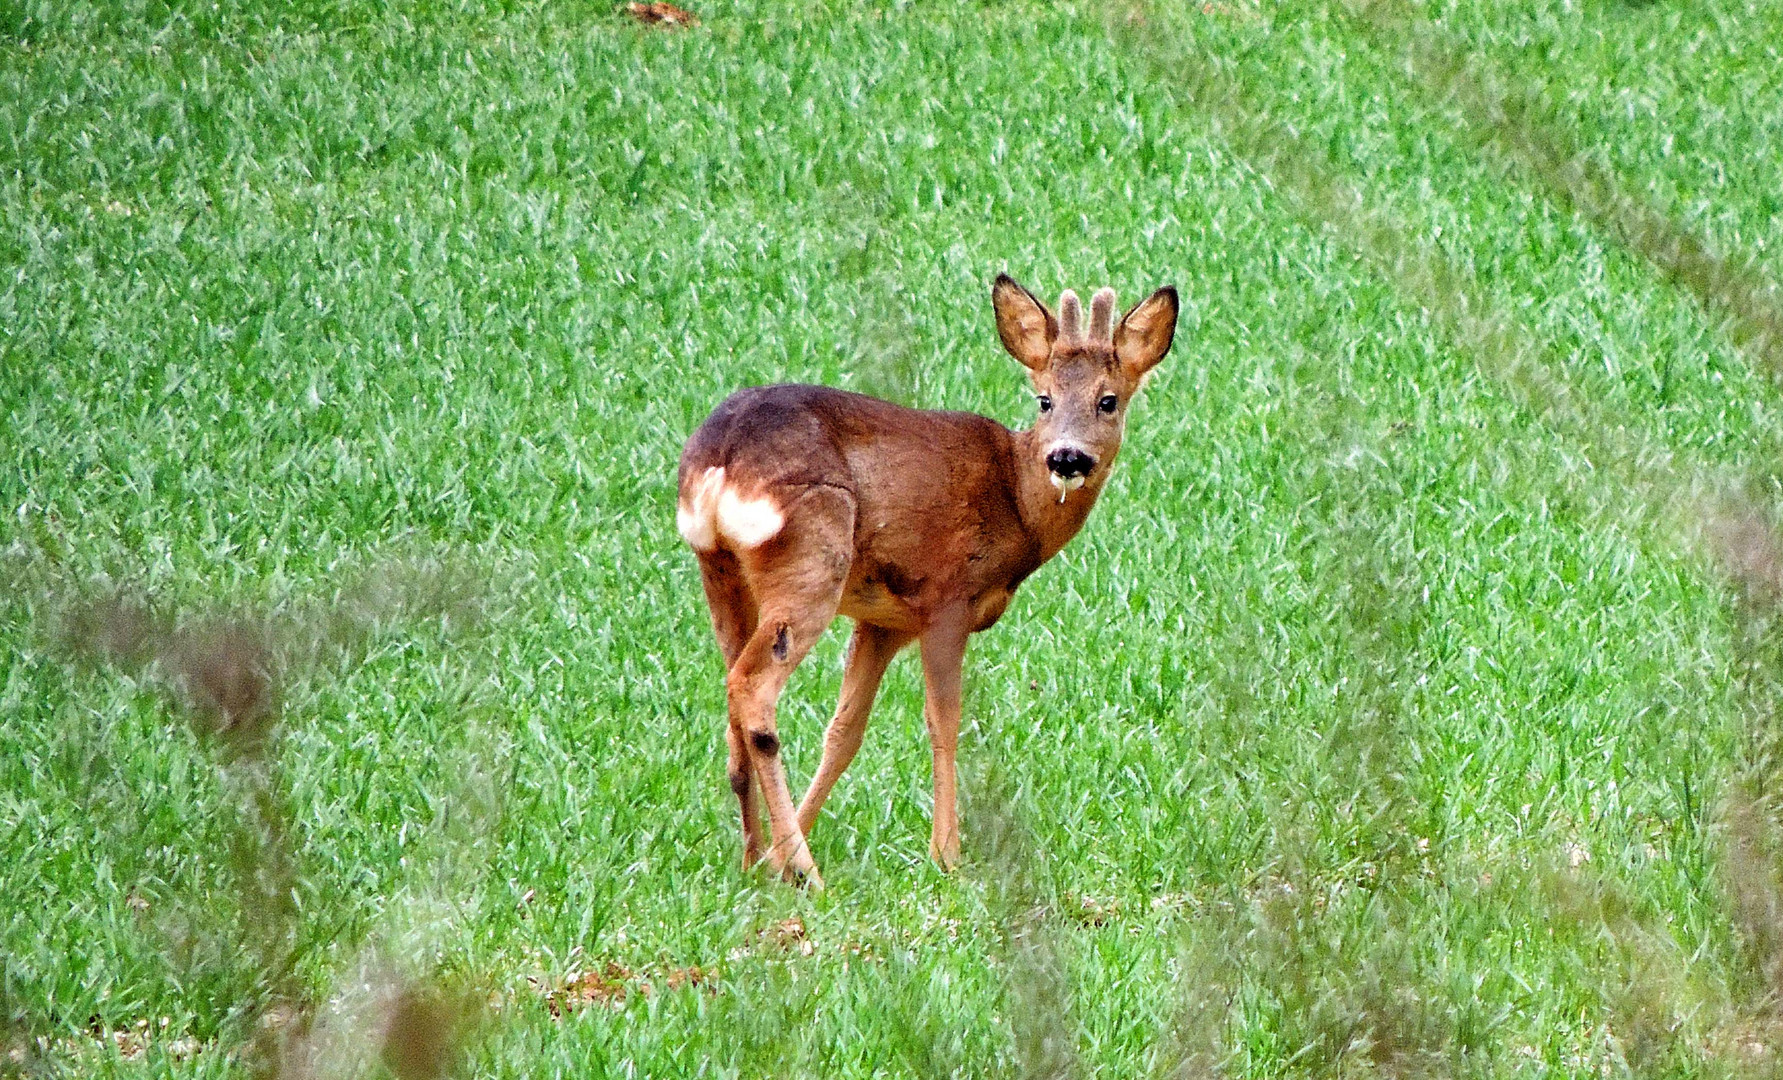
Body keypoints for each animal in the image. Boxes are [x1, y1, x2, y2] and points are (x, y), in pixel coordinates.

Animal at [673, 272, 1176, 887]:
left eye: (1108, 401)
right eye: (1045, 399)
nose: (1067, 457)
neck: (1017, 502)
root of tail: (719, 460)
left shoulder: (883, 620)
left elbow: (844, 732)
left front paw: (776, 859)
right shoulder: (946, 597)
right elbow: (945, 723)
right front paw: (947, 853)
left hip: (721, 571)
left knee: (731, 695)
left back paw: (754, 859)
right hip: (813, 557)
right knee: (752, 688)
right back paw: (807, 871)